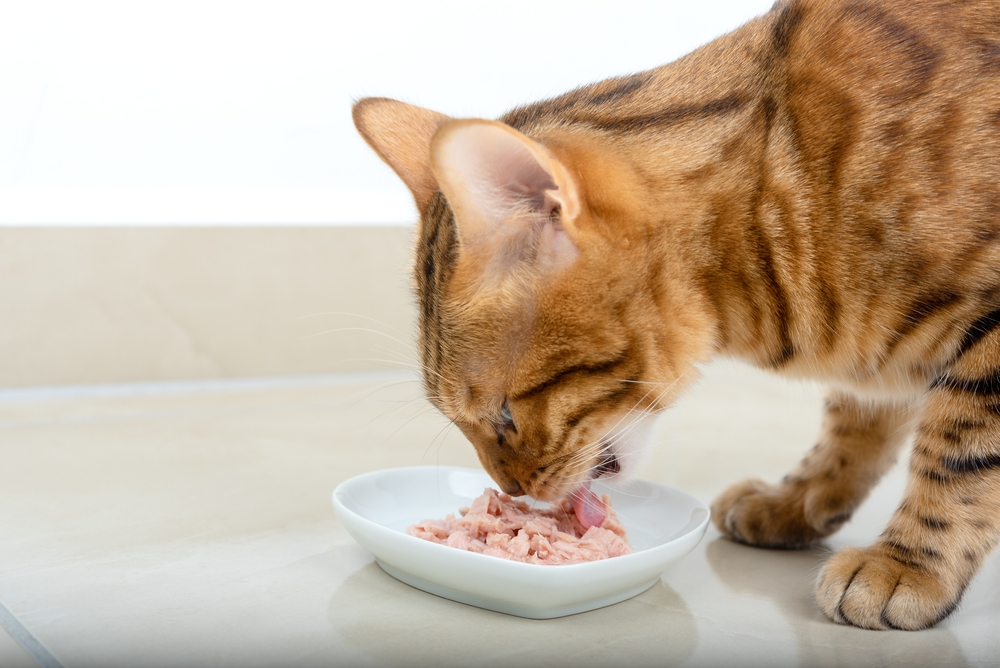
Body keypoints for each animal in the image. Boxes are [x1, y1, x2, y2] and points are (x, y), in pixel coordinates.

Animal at [352, 0, 1000, 632]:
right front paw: (799, 498)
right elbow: (856, 418)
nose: (509, 490)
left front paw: (908, 563)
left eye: (505, 414)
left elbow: (958, 454)